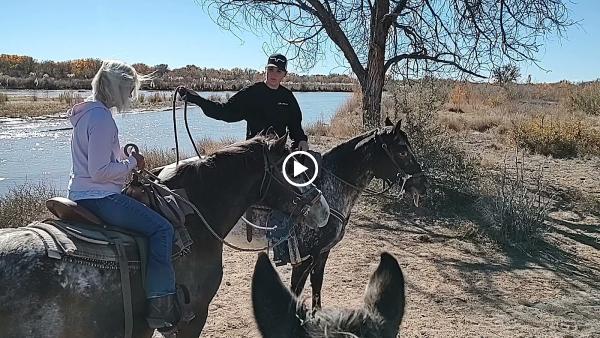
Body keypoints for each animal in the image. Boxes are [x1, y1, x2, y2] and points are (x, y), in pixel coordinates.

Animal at [290, 119, 426, 308]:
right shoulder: (304, 259)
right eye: (402, 151)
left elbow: (317, 286)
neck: (325, 190)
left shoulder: (322, 254)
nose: (423, 184)